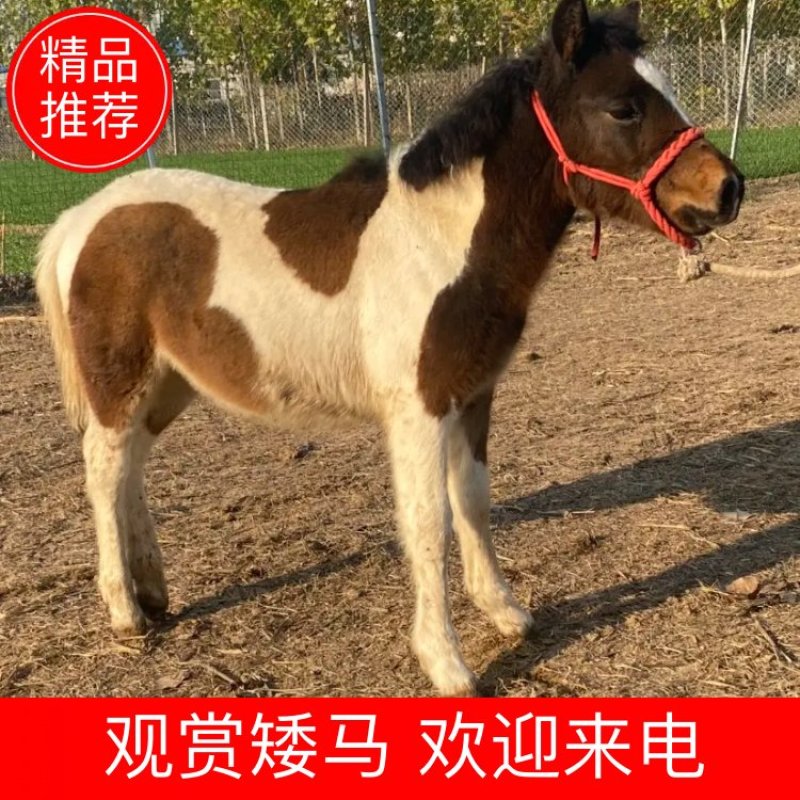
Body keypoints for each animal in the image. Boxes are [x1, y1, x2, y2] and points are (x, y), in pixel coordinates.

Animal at [36, 0, 743, 696]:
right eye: (623, 107)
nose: (727, 188)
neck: (441, 241)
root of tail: (79, 218)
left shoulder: (473, 395)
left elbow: (473, 501)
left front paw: (504, 612)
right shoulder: (418, 410)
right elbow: (428, 522)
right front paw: (447, 664)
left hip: (168, 381)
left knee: (131, 468)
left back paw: (153, 591)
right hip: (120, 381)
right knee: (103, 471)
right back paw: (125, 611)